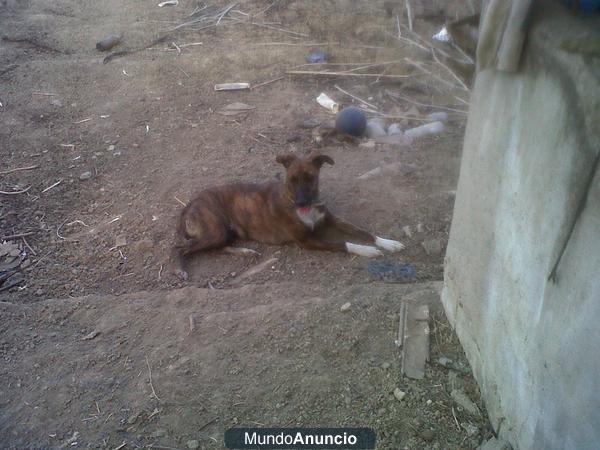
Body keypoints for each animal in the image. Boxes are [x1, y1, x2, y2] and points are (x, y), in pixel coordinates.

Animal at [176, 151, 406, 280]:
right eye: (293, 179)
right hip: (215, 230)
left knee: (219, 248)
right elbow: (343, 243)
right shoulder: (306, 241)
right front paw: (367, 250)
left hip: (225, 233)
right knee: (181, 248)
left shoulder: (330, 219)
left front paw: (387, 242)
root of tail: (191, 202)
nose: (302, 203)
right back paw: (181, 269)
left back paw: (245, 251)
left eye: (310, 178)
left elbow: (362, 231)